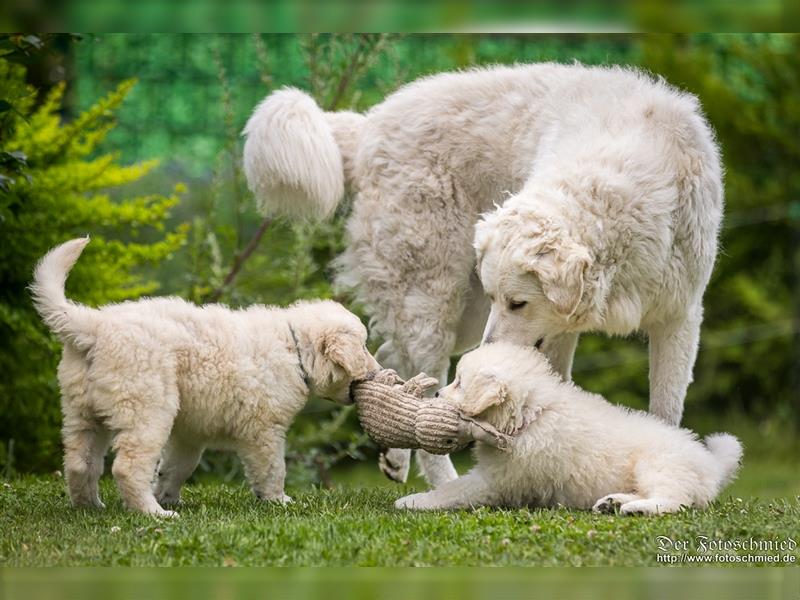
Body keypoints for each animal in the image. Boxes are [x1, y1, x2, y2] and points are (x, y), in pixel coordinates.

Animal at [32, 238, 382, 516]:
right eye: (364, 346)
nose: (377, 372)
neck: (293, 346)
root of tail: (95, 326)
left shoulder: (191, 433)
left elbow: (177, 467)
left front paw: (169, 495)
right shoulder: (264, 430)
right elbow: (273, 468)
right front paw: (279, 500)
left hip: (82, 411)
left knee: (80, 462)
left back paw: (90, 506)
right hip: (148, 409)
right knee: (128, 466)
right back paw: (153, 513)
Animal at [241, 62, 720, 482]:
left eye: (518, 303)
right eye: (501, 300)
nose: (488, 354)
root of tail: (368, 127)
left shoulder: (678, 316)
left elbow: (666, 409)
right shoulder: (557, 331)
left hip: (460, 319)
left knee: (393, 362)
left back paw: (395, 456)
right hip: (433, 304)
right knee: (423, 402)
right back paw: (443, 484)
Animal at [396, 342, 740, 516]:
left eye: (459, 382)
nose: (436, 396)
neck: (531, 417)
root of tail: (712, 465)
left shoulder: (498, 480)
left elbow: (454, 490)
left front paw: (413, 501)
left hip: (659, 464)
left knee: (674, 500)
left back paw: (638, 509)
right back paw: (613, 503)